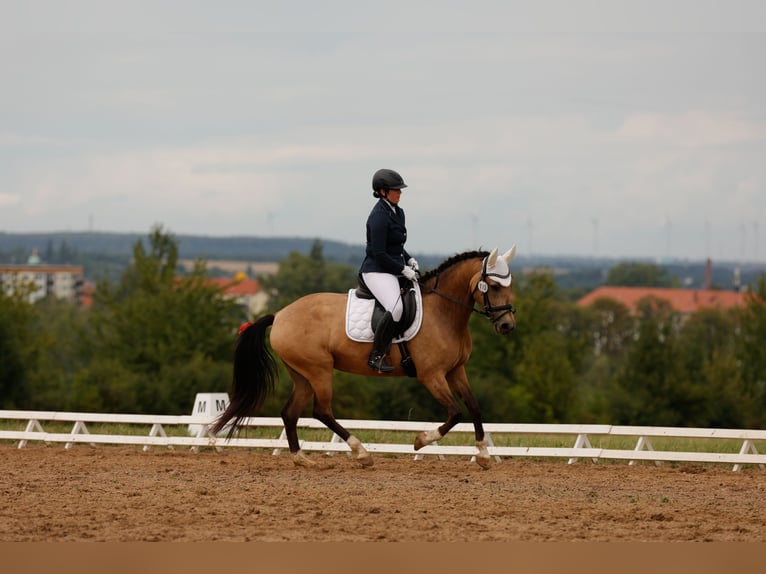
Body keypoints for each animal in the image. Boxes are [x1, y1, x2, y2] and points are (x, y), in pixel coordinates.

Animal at [211, 245, 518, 469]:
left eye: (510, 285)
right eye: (494, 286)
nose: (507, 326)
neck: (444, 311)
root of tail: (280, 314)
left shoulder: (456, 370)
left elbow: (474, 407)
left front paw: (483, 455)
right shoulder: (432, 375)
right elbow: (455, 413)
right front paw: (420, 441)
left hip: (302, 374)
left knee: (290, 413)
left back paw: (303, 459)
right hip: (319, 370)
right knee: (321, 411)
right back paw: (361, 453)